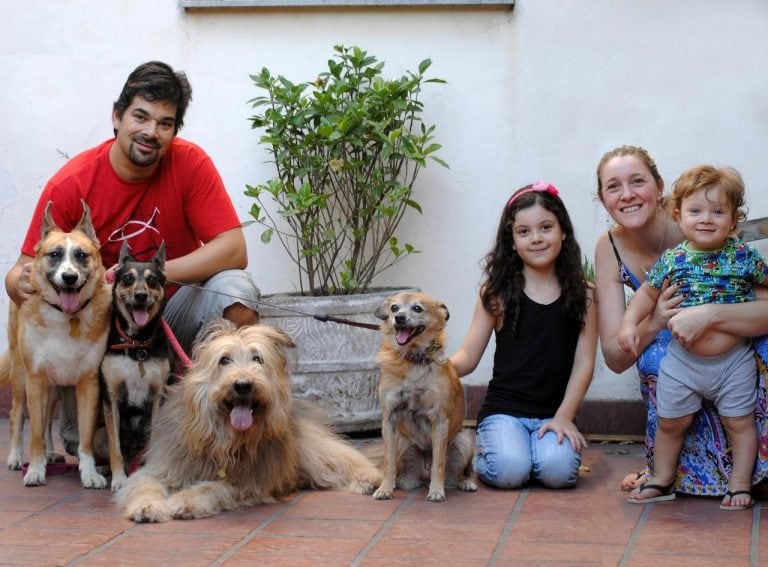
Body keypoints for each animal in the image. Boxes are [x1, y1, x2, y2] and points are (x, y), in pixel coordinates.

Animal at [3, 200, 112, 488]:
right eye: (55, 254)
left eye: (82, 255)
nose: (69, 278)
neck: (66, 316)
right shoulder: (35, 380)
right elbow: (35, 435)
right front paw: (34, 469)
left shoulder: (89, 384)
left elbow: (85, 440)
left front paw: (90, 473)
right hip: (21, 377)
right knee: (17, 415)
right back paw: (16, 457)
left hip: (52, 388)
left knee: (46, 424)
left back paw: (52, 453)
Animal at [118, 320, 384, 524]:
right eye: (224, 360)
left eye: (258, 359)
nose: (243, 385)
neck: (222, 436)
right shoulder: (163, 466)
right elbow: (145, 483)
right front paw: (148, 506)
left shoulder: (244, 482)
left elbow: (210, 487)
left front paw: (182, 502)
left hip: (311, 449)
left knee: (343, 459)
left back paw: (370, 480)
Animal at [372, 292, 474, 502]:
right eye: (394, 308)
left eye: (417, 308)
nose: (399, 318)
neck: (414, 358)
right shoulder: (389, 420)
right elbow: (388, 462)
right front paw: (385, 488)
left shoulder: (439, 419)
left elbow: (438, 463)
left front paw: (436, 490)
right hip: (402, 442)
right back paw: (398, 482)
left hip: (464, 439)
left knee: (462, 471)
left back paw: (465, 482)